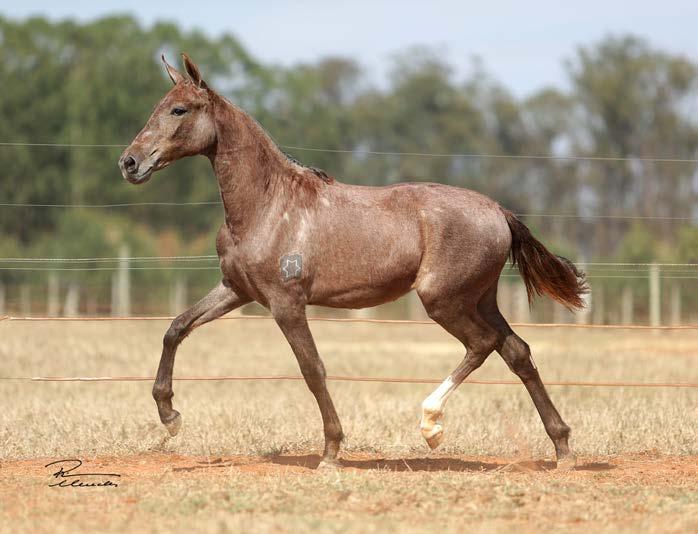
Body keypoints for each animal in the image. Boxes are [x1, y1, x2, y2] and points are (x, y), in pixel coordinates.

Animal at [119, 54, 588, 472]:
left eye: (179, 109)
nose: (129, 162)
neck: (268, 205)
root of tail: (499, 211)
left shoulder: (286, 303)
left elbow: (312, 369)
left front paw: (330, 452)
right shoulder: (237, 291)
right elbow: (176, 327)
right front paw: (170, 417)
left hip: (443, 300)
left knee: (483, 344)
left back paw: (431, 425)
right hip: (481, 298)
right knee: (517, 352)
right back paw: (562, 449)